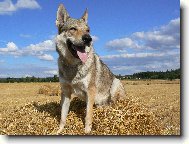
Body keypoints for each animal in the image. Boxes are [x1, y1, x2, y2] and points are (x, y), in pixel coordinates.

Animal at [55, 3, 125, 134]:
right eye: (73, 29)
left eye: (88, 30)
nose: (88, 38)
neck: (73, 66)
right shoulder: (66, 92)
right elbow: (62, 116)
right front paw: (58, 131)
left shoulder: (90, 92)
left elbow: (88, 115)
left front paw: (87, 131)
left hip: (115, 84)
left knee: (113, 104)